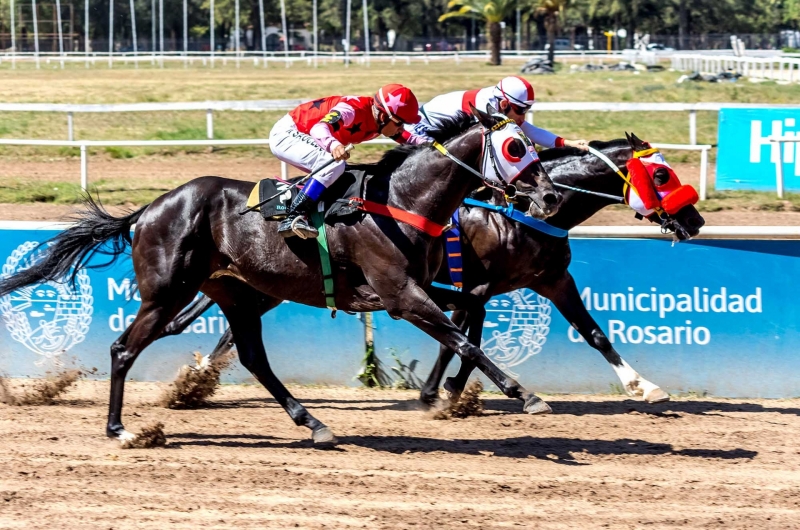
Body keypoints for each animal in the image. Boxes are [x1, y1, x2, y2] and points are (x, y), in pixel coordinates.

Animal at [0, 106, 564, 442]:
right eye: (516, 148)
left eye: (530, 146)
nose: (550, 196)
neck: (400, 201)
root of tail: (149, 209)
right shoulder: (401, 296)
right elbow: (464, 337)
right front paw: (525, 394)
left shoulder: (418, 290)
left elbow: (471, 312)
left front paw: (449, 391)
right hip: (165, 292)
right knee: (123, 349)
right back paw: (119, 428)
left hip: (233, 292)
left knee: (253, 358)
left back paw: (313, 423)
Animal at [166, 134, 704, 406]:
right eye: (661, 173)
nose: (696, 220)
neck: (522, 213)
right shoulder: (474, 288)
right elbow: (464, 339)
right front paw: (444, 393)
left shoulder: (551, 280)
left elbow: (594, 334)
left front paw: (645, 386)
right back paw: (193, 381)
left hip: (276, 283)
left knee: (232, 327)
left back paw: (195, 381)